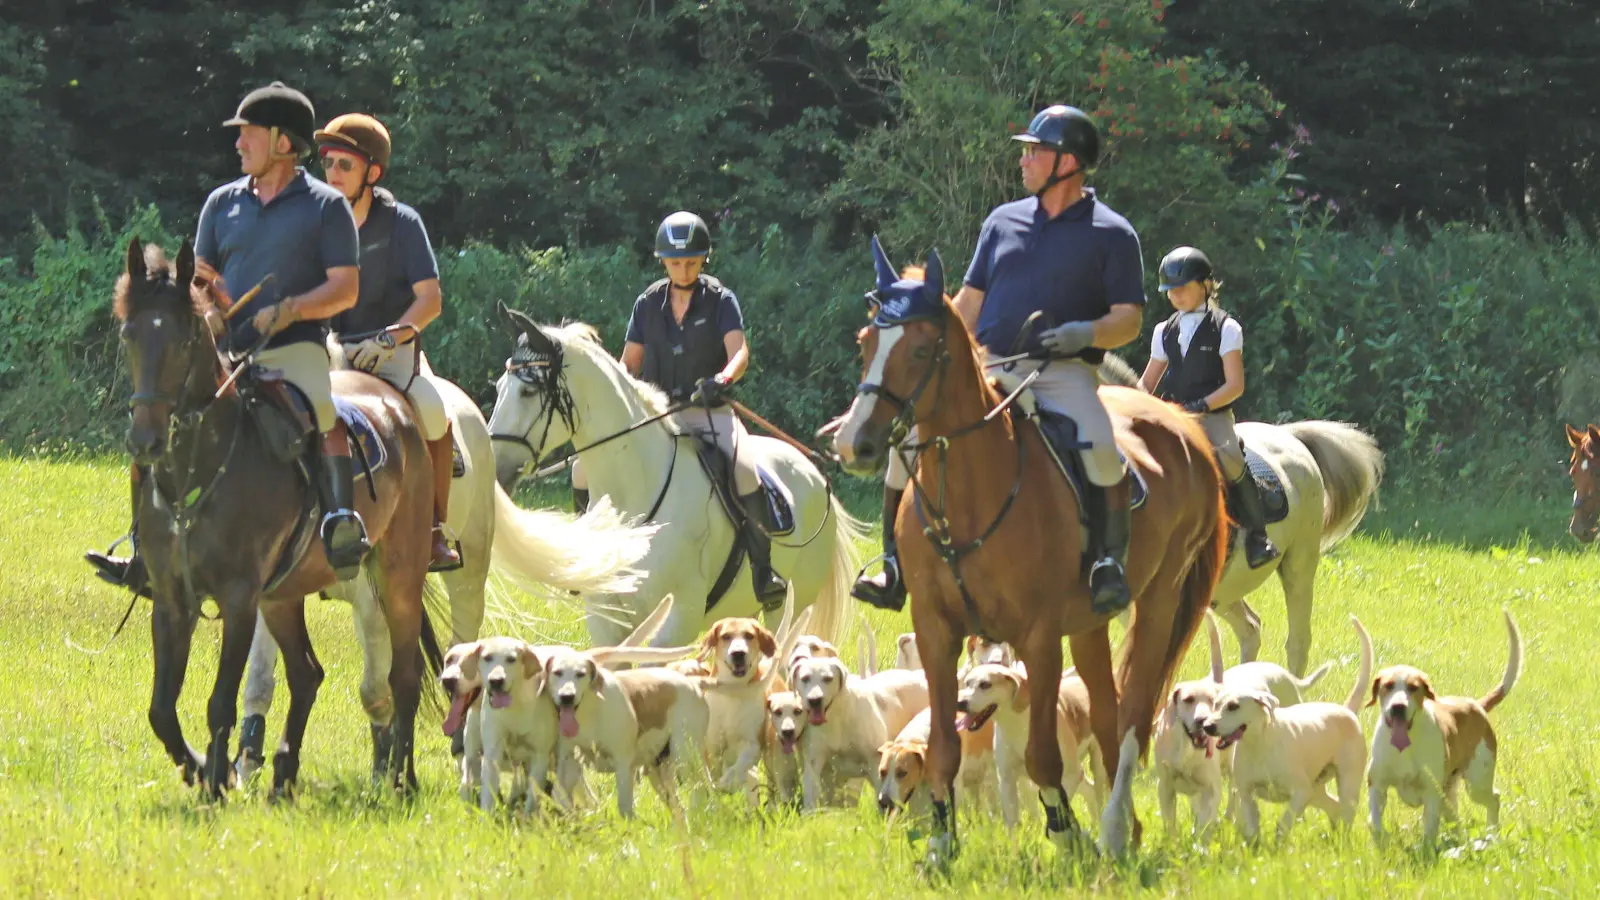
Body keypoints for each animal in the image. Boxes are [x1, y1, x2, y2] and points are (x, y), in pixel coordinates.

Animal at [113, 235, 441, 794]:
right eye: (130, 335)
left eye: (183, 340)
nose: (146, 441)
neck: (199, 469)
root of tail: (395, 404)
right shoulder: (173, 600)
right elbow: (161, 708)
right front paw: (202, 768)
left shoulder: (239, 598)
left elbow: (219, 702)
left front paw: (215, 782)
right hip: (283, 594)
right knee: (307, 672)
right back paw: (284, 775)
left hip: (398, 574)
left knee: (404, 674)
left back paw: (402, 778)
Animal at [232, 355, 656, 778]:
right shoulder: (277, 590)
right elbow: (260, 678)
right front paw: (247, 757)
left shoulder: (374, 598)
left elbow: (375, 688)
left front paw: (385, 767)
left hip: (467, 576)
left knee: (461, 641)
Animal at [486, 305, 870, 643]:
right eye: (499, 388)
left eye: (528, 390)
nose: (494, 467)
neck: (636, 492)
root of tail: (815, 475)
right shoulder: (607, 618)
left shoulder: (678, 617)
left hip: (791, 605)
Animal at [825, 240, 1222, 851]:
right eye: (866, 341)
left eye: (921, 348)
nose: (853, 444)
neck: (968, 492)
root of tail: (1184, 426)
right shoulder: (936, 631)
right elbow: (943, 748)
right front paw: (942, 845)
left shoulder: (1037, 638)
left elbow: (1042, 756)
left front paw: (1065, 832)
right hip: (1088, 624)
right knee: (1106, 712)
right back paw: (1125, 827)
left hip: (1159, 601)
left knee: (1132, 714)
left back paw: (1112, 829)